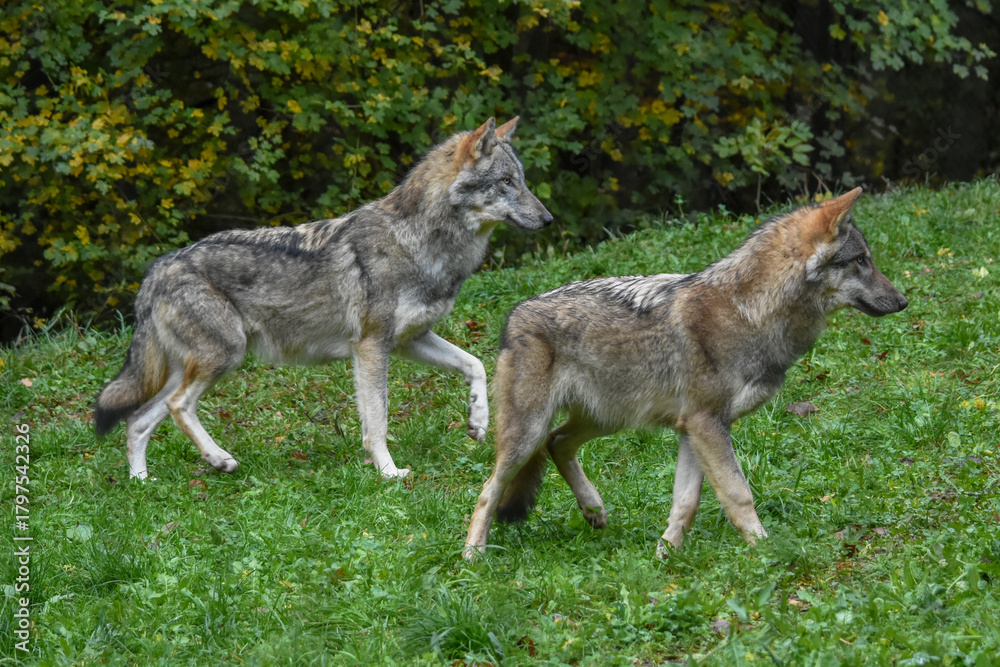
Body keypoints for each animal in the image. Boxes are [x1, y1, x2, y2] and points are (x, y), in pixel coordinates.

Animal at [94, 117, 552, 481]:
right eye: (506, 182)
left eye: (523, 180)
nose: (548, 219)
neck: (420, 243)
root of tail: (157, 270)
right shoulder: (371, 347)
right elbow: (377, 421)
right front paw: (389, 473)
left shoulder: (409, 341)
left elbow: (475, 364)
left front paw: (478, 422)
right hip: (224, 356)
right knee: (176, 407)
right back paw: (219, 459)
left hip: (193, 367)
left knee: (137, 421)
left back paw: (142, 483)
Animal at [464, 188, 907, 559]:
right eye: (861, 261)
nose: (903, 301)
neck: (750, 313)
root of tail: (514, 315)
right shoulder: (706, 424)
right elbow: (738, 494)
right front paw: (766, 551)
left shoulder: (692, 428)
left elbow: (686, 502)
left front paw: (666, 555)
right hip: (530, 432)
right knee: (489, 488)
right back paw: (474, 554)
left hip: (604, 419)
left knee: (558, 444)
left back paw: (594, 510)